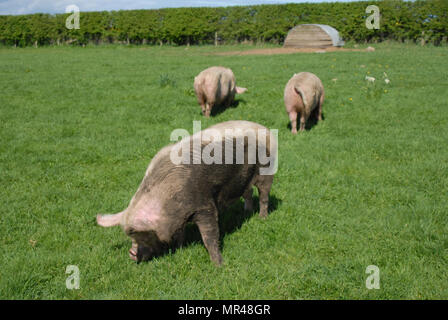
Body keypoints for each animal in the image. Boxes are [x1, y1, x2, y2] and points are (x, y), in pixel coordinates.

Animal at [97, 120, 276, 264]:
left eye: (142, 234)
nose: (131, 254)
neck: (167, 201)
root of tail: (264, 128)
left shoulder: (204, 206)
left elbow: (210, 236)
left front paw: (219, 264)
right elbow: (180, 234)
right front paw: (181, 249)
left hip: (267, 170)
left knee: (264, 195)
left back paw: (262, 218)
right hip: (244, 181)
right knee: (248, 193)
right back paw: (247, 212)